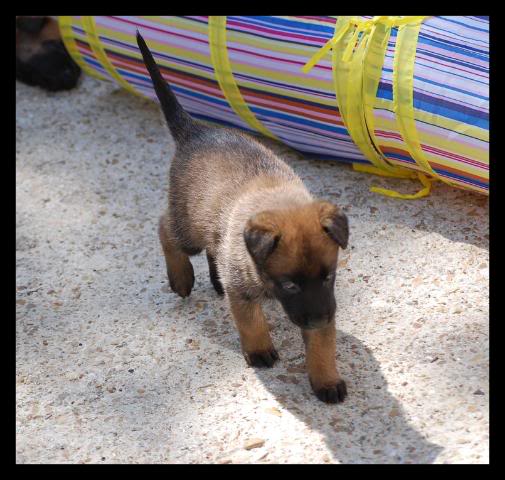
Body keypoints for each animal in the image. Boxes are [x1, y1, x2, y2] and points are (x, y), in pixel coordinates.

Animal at [138, 31, 350, 404]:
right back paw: (181, 277)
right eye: (290, 285)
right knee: (165, 228)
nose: (320, 318)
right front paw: (260, 349)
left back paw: (213, 280)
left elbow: (322, 347)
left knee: (211, 248)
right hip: (188, 226)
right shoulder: (244, 293)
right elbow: (251, 322)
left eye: (329, 277)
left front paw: (326, 379)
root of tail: (194, 131)